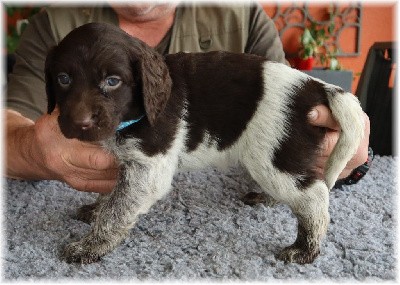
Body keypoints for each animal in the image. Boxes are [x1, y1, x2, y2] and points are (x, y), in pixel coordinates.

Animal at [44, 22, 366, 264]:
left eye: (112, 81)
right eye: (63, 79)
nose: (79, 122)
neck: (135, 111)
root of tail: (316, 88)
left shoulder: (149, 168)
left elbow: (117, 211)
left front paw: (91, 246)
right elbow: (111, 196)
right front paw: (97, 209)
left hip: (274, 157)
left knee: (314, 196)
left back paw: (305, 249)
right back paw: (269, 200)